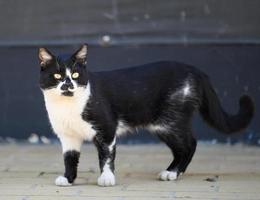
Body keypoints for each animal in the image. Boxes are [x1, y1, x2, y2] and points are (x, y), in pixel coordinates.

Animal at [38, 44, 254, 187]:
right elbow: (69, 158)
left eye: (75, 75)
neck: (68, 108)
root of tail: (194, 69)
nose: (68, 85)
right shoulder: (67, 136)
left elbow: (106, 157)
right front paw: (68, 178)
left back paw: (173, 173)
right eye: (57, 76)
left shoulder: (106, 129)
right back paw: (170, 171)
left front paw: (107, 178)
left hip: (170, 120)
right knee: (181, 148)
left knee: (190, 144)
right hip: (163, 125)